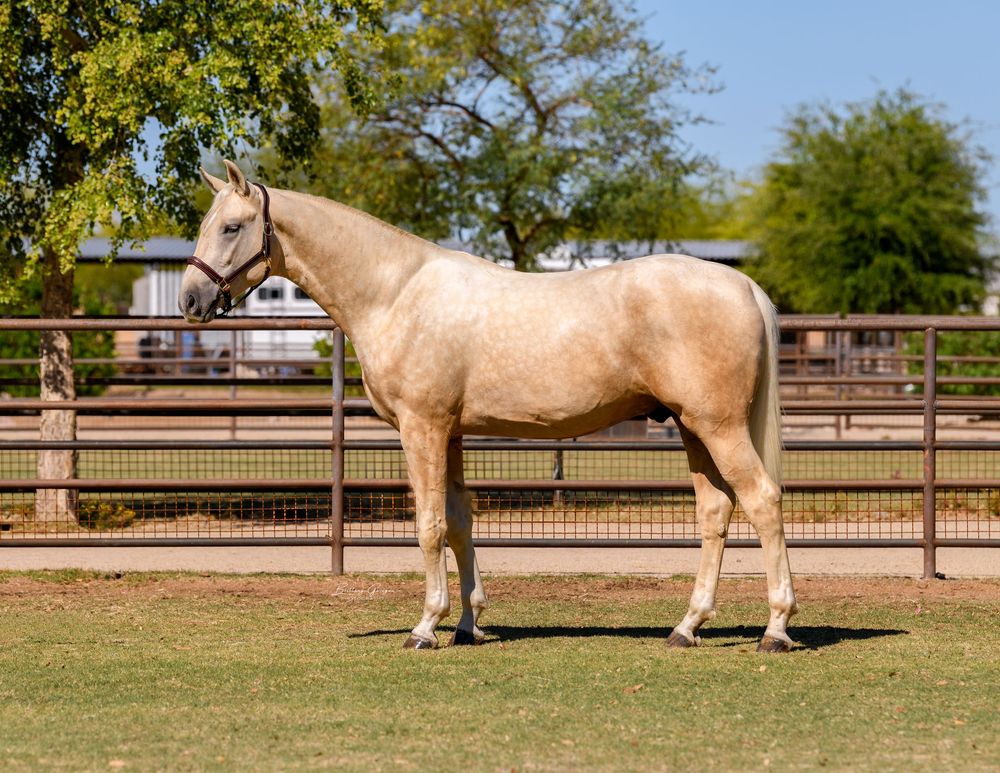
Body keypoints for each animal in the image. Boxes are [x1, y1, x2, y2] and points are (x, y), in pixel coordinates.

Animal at [180, 160, 798, 653]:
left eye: (232, 227)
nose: (190, 299)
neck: (395, 293)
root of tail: (744, 284)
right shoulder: (449, 433)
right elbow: (459, 522)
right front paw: (467, 624)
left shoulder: (422, 428)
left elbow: (429, 526)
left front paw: (425, 627)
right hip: (694, 429)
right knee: (715, 512)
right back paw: (687, 627)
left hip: (719, 427)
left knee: (763, 502)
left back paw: (775, 629)